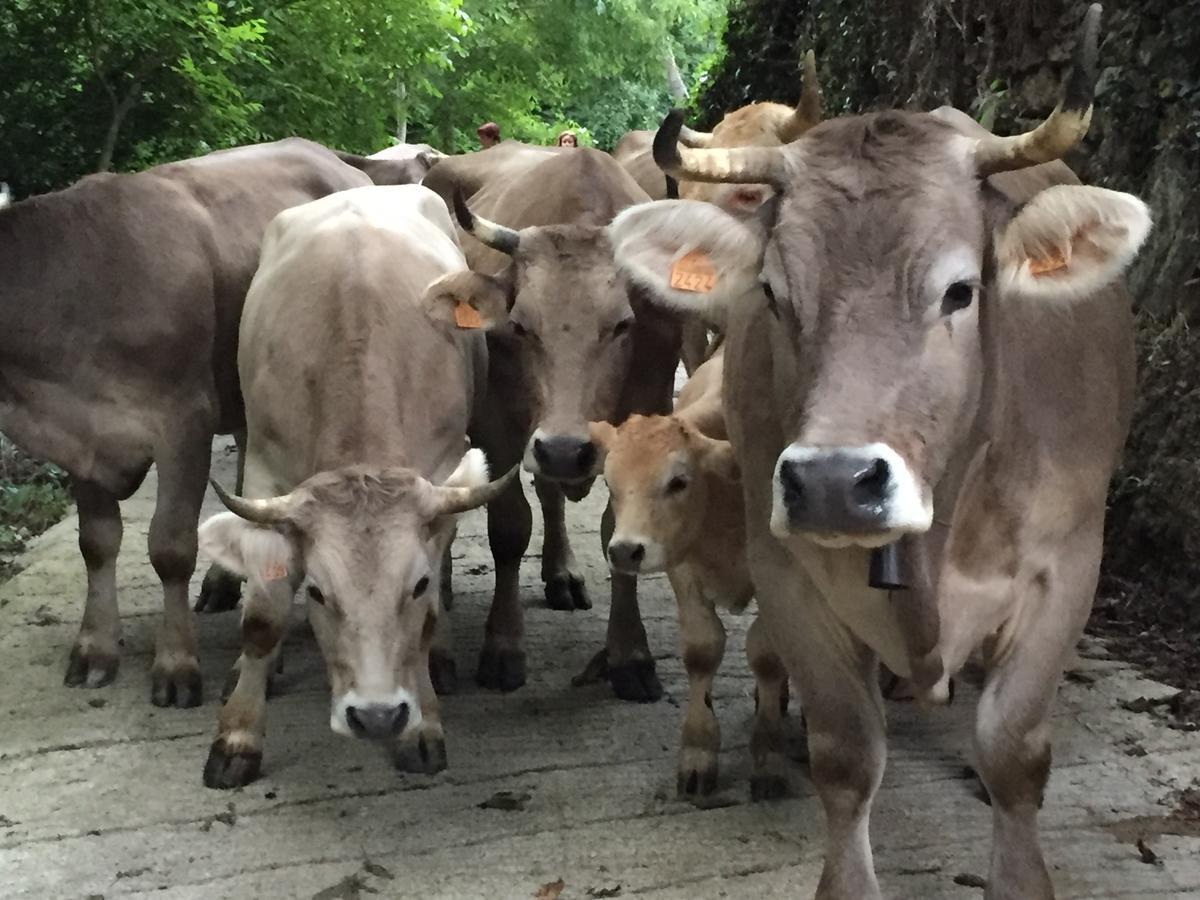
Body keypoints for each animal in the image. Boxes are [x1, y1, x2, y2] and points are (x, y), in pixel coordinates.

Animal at [0, 137, 388, 710]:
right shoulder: (84, 438)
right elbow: (96, 542)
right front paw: (94, 649)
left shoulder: (183, 418)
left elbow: (170, 546)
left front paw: (176, 665)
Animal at [193, 187, 511, 792]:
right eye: (318, 592)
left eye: (415, 585)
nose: (377, 716)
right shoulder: (267, 469)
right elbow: (264, 617)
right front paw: (238, 736)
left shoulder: (440, 472)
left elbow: (426, 617)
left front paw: (422, 726)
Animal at [429, 148, 686, 700]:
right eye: (519, 326)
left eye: (623, 324)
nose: (567, 449)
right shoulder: (499, 430)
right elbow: (509, 528)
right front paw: (503, 646)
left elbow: (616, 528)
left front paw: (629, 655)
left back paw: (562, 572)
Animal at [588, 348, 792, 801]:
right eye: (610, 483)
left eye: (678, 482)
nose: (625, 550)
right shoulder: (683, 568)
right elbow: (702, 651)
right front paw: (698, 752)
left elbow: (767, 656)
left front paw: (769, 755)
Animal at [609, 5, 1152, 897]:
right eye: (773, 293)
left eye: (962, 290)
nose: (834, 482)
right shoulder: (788, 573)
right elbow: (846, 757)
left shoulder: (1067, 569)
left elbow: (1013, 754)